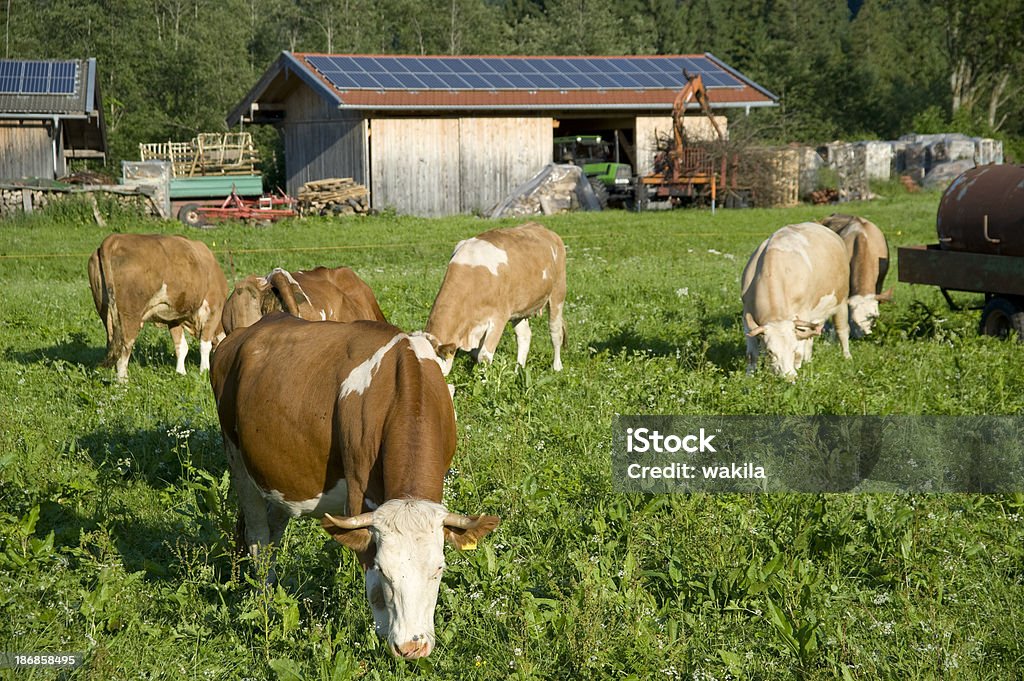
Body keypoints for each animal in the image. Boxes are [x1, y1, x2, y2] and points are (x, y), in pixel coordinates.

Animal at [87, 232, 227, 382]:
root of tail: (114, 239)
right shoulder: (214, 310)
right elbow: (204, 345)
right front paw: (204, 372)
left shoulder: (174, 317)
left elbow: (181, 347)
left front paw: (181, 373)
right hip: (130, 315)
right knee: (125, 348)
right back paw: (123, 382)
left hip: (105, 312)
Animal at [209, 313, 497, 659]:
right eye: (385, 571)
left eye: (438, 569)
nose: (413, 646)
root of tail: (245, 332)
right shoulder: (360, 497)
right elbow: (372, 588)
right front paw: (384, 639)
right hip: (237, 458)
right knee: (258, 538)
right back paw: (264, 600)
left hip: (281, 477)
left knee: (273, 534)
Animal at [423, 222, 569, 374]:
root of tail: (541, 227)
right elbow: (475, 354)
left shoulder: (499, 317)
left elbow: (484, 356)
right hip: (520, 307)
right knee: (524, 336)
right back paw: (518, 371)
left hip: (558, 293)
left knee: (555, 332)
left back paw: (557, 367)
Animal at [741, 224, 851, 378]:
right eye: (770, 351)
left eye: (792, 349)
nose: (788, 377)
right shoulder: (747, 317)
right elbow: (752, 354)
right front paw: (749, 375)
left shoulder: (803, 314)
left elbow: (800, 350)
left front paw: (797, 368)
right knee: (811, 338)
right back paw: (809, 360)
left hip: (841, 301)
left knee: (842, 330)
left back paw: (847, 357)